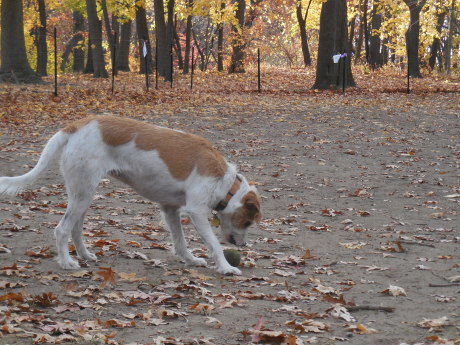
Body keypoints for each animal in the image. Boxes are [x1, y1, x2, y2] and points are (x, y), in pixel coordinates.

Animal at [0, 115, 260, 274]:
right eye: (247, 222)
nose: (244, 244)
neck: (226, 182)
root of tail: (77, 125)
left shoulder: (170, 209)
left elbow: (180, 241)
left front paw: (190, 260)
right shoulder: (195, 211)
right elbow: (214, 244)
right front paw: (226, 267)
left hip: (82, 194)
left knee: (75, 229)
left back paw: (85, 255)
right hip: (83, 193)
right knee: (62, 229)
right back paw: (66, 262)